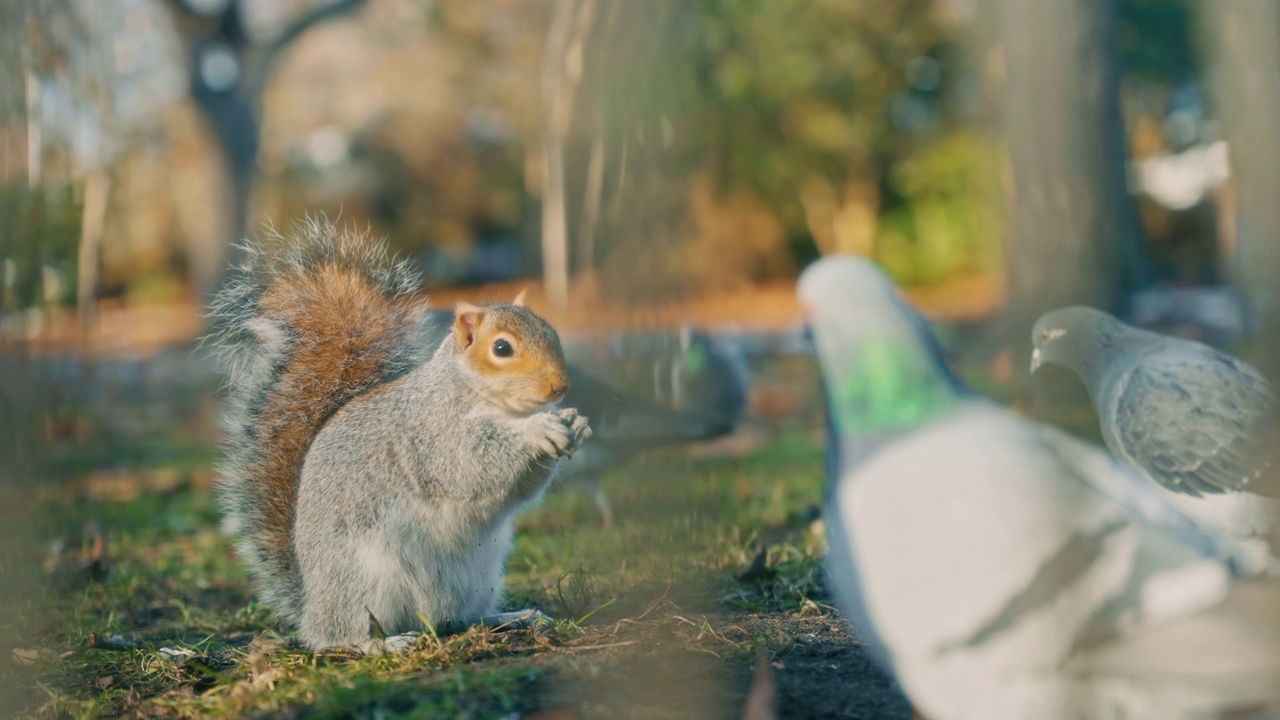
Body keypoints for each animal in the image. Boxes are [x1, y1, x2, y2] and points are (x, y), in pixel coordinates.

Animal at [207, 215, 591, 648]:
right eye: (502, 348)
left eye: (550, 331)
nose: (560, 387)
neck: (499, 406)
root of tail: (310, 608)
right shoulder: (432, 433)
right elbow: (471, 464)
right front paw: (538, 430)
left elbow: (520, 490)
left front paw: (574, 423)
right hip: (361, 580)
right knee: (343, 636)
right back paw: (383, 642)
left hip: (478, 578)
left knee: (457, 619)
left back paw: (510, 617)